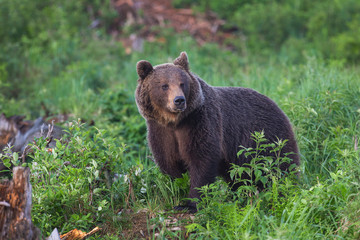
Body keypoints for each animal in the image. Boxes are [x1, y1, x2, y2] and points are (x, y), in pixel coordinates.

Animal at [134, 51, 298, 212]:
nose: (179, 100)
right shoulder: (161, 132)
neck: (175, 121)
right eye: (164, 85)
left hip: (269, 139)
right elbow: (169, 163)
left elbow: (202, 159)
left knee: (280, 168)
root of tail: (278, 107)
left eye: (182, 83)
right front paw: (178, 192)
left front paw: (190, 204)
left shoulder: (200, 123)